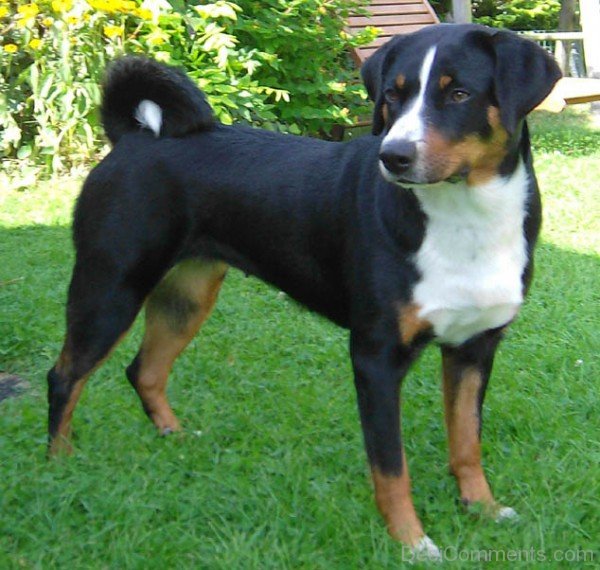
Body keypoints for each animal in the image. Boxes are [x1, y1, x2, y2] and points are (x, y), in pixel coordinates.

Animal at [48, 24, 564, 556]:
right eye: (393, 96)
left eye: (458, 93)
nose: (394, 156)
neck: (467, 219)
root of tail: (134, 139)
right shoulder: (376, 357)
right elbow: (391, 467)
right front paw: (411, 541)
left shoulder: (474, 348)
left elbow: (466, 442)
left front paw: (482, 507)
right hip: (110, 289)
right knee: (64, 377)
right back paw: (60, 464)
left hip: (186, 296)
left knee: (145, 371)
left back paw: (175, 438)